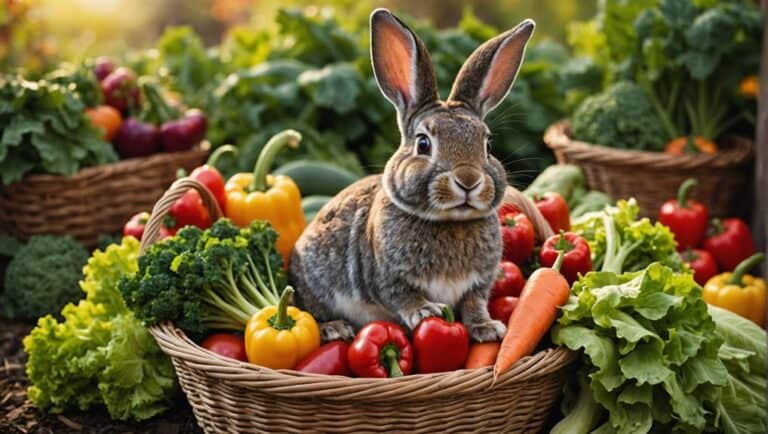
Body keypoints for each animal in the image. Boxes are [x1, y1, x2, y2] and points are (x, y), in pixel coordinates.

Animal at [289, 8, 536, 343]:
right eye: (423, 143)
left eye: (487, 145)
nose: (468, 180)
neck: (450, 222)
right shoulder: (387, 277)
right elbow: (402, 296)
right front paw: (425, 312)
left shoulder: (478, 285)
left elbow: (474, 304)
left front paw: (488, 328)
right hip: (314, 283)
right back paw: (334, 328)